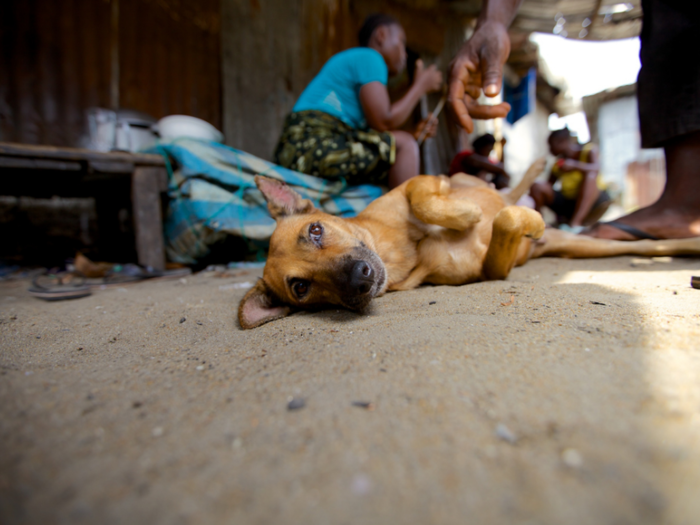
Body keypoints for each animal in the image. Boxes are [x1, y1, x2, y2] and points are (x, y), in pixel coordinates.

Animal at [239, 161, 700, 328]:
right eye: (301, 288)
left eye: (315, 231)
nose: (359, 279)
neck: (401, 253)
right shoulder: (492, 271)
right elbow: (506, 224)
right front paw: (517, 219)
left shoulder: (419, 182)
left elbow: (427, 196)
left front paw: (467, 215)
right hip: (581, 249)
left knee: (496, 187)